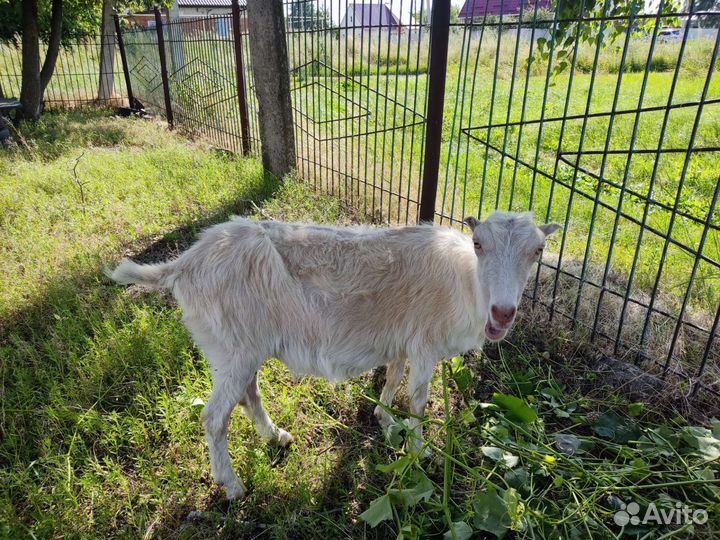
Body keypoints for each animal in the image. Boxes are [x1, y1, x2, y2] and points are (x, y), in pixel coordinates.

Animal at [108, 210, 561, 499]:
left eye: (538, 252)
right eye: (479, 243)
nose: (503, 313)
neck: (465, 280)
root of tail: (183, 264)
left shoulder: (402, 340)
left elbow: (393, 376)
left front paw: (383, 418)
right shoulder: (425, 345)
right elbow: (418, 400)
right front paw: (421, 452)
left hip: (239, 348)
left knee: (248, 394)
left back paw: (275, 436)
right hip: (233, 347)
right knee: (214, 417)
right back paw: (233, 487)